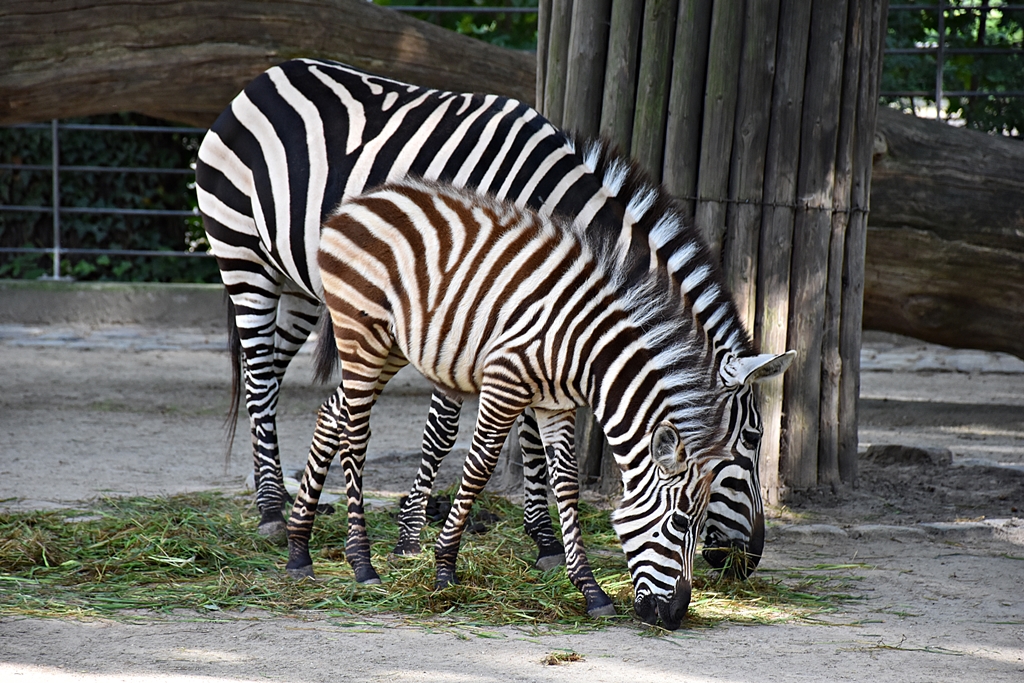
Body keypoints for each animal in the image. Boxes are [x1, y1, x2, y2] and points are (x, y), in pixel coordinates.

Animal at [194, 57, 793, 577]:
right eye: (748, 441)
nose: (749, 560)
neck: (549, 204)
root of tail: (272, 72)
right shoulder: (462, 302)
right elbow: (445, 432)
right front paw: (411, 538)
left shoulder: (539, 315)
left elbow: (531, 433)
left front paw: (544, 540)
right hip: (242, 256)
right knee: (260, 379)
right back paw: (271, 512)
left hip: (304, 286)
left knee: (273, 372)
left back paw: (288, 498)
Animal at [287, 179, 729, 629]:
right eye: (679, 523)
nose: (675, 615)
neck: (586, 354)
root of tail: (362, 200)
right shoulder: (504, 383)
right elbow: (479, 468)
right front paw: (444, 569)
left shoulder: (556, 405)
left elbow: (566, 485)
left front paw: (591, 591)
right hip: (362, 334)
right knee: (355, 436)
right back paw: (361, 563)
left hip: (390, 345)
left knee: (331, 413)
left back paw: (299, 551)